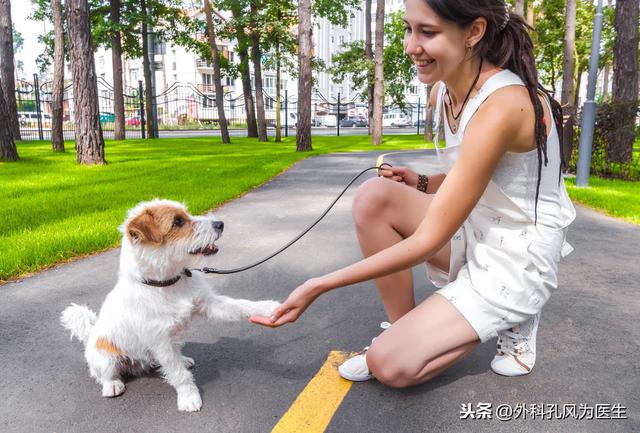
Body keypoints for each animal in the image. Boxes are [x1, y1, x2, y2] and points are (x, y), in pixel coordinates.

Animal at [62, 199, 280, 412]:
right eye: (177, 222)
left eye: (186, 214)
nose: (220, 224)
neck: (167, 283)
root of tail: (90, 333)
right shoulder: (161, 342)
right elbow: (178, 374)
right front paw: (189, 398)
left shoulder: (208, 304)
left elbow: (240, 305)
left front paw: (269, 307)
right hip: (106, 358)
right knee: (103, 375)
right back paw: (112, 385)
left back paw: (183, 359)